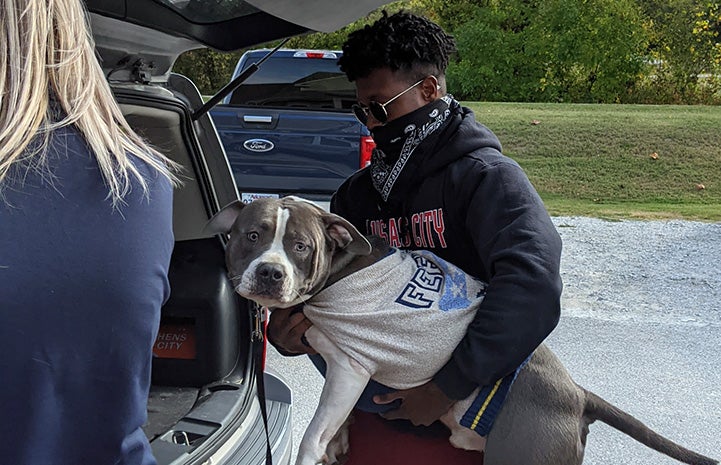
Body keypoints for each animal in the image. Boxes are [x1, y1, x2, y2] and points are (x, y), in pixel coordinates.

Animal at [205, 195, 716, 464]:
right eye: (252, 236)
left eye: (301, 246)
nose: (271, 273)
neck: (340, 269)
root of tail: (577, 394)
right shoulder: (340, 369)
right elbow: (336, 419)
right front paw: (341, 440)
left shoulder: (351, 365)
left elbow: (315, 431)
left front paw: (314, 452)